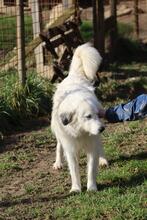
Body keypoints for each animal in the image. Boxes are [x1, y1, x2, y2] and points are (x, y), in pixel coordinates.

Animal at [51, 43, 107, 192]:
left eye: (97, 115)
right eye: (88, 116)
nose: (102, 128)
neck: (81, 132)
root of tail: (73, 76)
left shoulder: (92, 146)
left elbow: (91, 169)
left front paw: (91, 188)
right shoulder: (70, 150)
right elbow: (74, 171)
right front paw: (76, 189)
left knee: (100, 147)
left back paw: (103, 160)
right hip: (58, 133)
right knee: (59, 146)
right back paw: (58, 163)